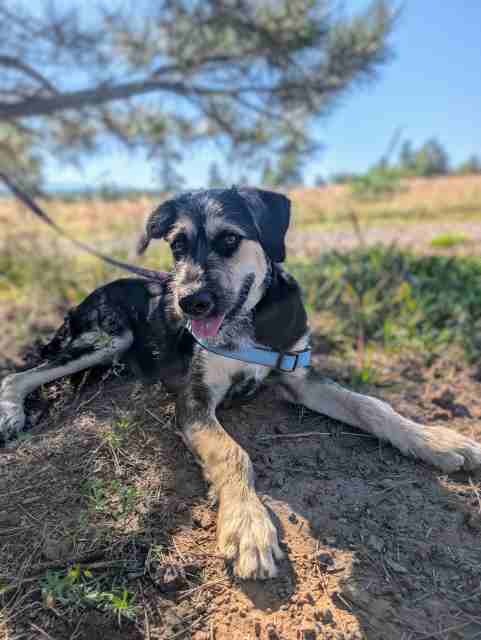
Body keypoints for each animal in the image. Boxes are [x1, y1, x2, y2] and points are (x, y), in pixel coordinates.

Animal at [0, 186, 480, 580]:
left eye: (229, 240)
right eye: (177, 246)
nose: (189, 303)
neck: (249, 323)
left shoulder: (299, 373)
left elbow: (372, 405)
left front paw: (436, 440)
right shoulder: (193, 400)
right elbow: (233, 454)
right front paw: (247, 526)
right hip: (107, 336)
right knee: (20, 373)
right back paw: (11, 412)